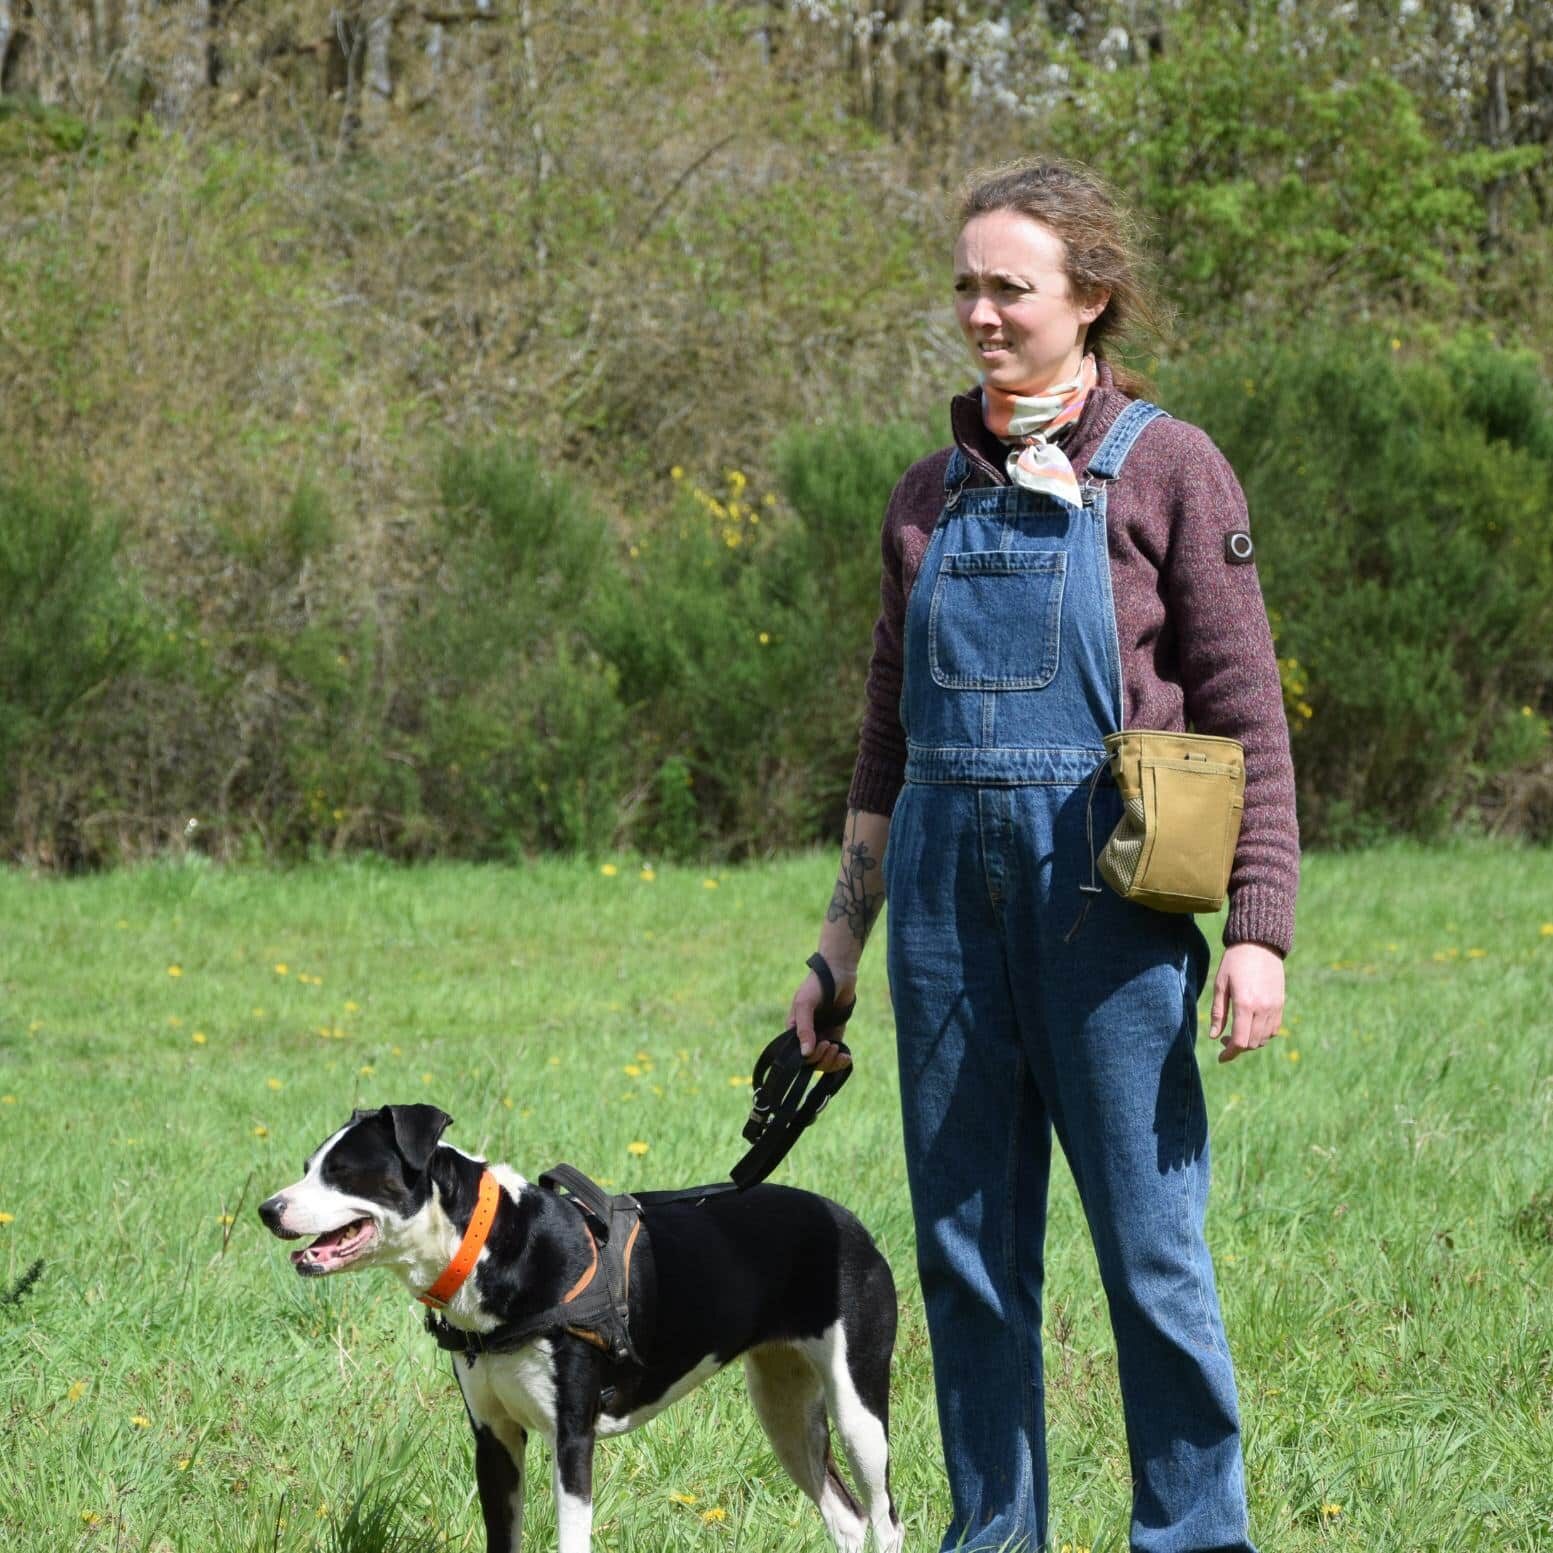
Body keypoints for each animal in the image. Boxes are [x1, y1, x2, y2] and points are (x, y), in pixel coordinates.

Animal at [260, 1105, 906, 1553]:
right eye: (307, 1168)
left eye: (344, 1173)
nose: (268, 1210)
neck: (496, 1246)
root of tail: (848, 1222)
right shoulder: (494, 1439)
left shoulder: (572, 1437)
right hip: (784, 1409)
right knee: (846, 1519)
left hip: (858, 1411)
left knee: (885, 1519)